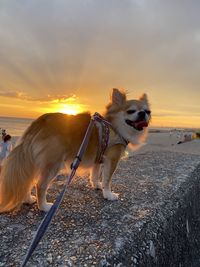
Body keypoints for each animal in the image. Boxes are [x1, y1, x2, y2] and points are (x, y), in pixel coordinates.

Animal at [0, 89, 151, 214]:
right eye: (131, 111)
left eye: (148, 111)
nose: (143, 113)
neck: (114, 126)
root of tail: (39, 122)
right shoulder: (112, 159)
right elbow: (107, 179)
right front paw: (108, 194)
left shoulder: (98, 159)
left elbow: (95, 175)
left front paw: (97, 186)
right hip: (53, 164)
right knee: (40, 185)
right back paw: (44, 207)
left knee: (28, 179)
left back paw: (28, 199)